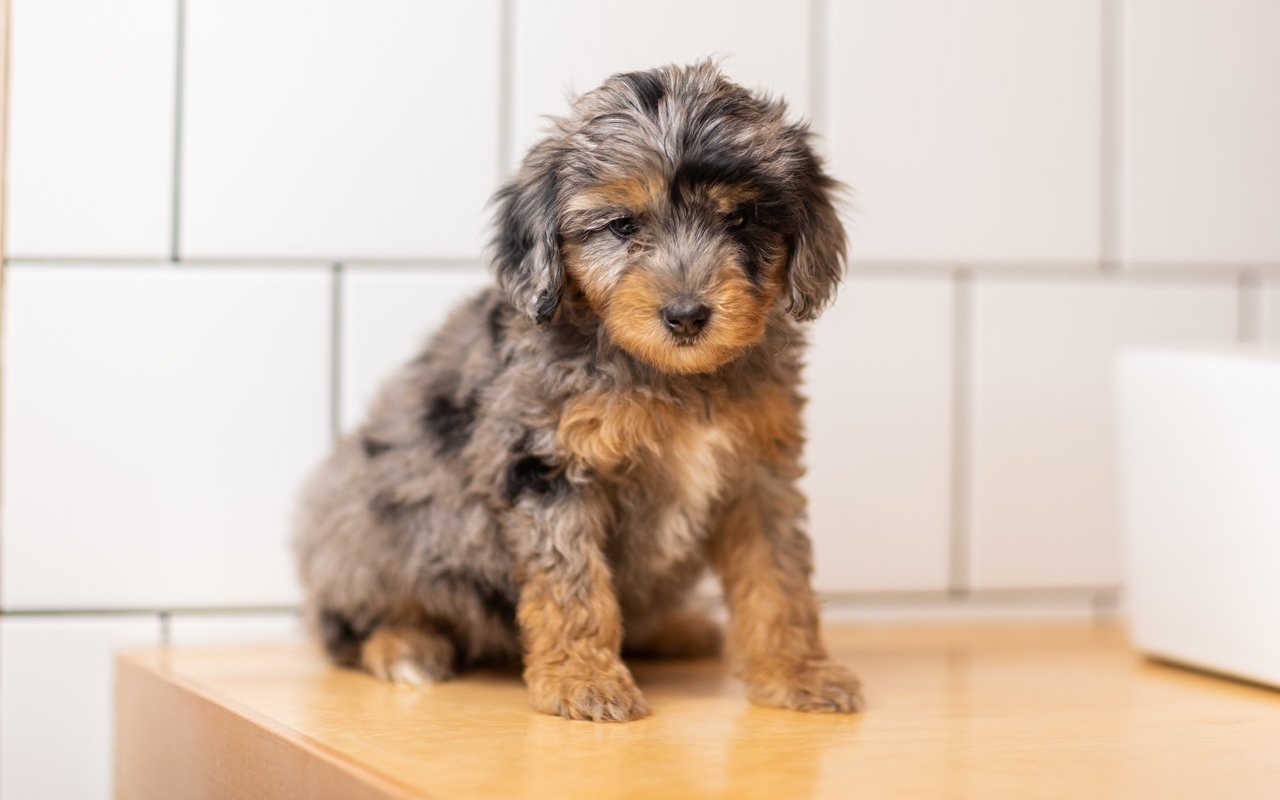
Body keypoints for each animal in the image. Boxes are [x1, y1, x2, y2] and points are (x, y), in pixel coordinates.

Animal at [294, 60, 865, 721]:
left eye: (741, 219)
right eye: (621, 226)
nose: (687, 316)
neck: (668, 375)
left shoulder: (759, 471)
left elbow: (779, 575)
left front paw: (798, 671)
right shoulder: (547, 462)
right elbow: (572, 583)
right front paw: (583, 680)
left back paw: (673, 629)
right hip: (361, 524)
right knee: (343, 625)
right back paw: (403, 644)